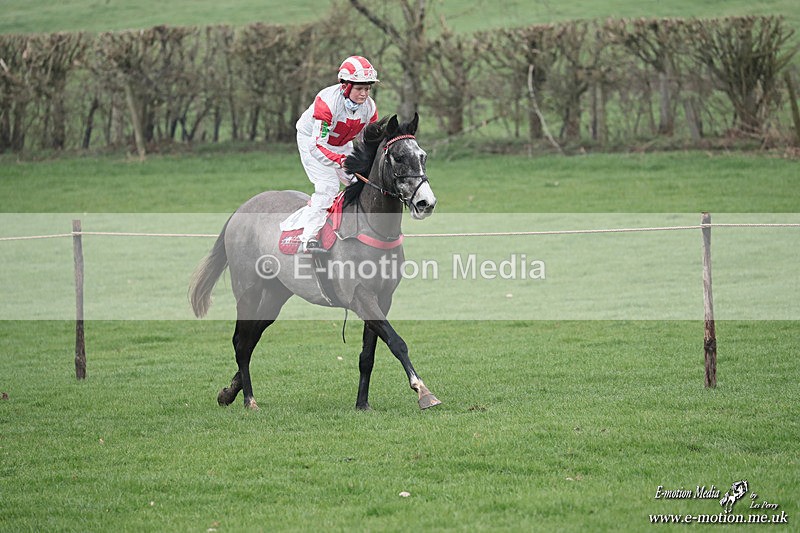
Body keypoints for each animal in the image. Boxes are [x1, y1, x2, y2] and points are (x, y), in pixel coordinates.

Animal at [188, 113, 441, 411]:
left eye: (423, 156)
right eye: (400, 157)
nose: (426, 202)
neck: (372, 229)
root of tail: (241, 210)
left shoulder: (383, 297)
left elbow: (367, 355)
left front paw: (362, 403)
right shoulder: (361, 297)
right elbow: (396, 342)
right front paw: (423, 391)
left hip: (276, 293)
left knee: (251, 339)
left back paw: (230, 392)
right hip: (248, 290)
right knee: (241, 342)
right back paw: (249, 400)